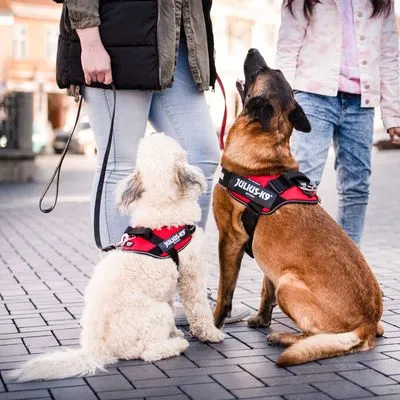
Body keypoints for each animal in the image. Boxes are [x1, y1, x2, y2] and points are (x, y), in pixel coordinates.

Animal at [12, 134, 223, 382]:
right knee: (148, 353)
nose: (153, 133)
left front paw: (175, 332)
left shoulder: (168, 286)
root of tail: (96, 349)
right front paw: (211, 334)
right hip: (157, 314)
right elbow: (200, 309)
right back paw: (176, 345)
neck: (161, 209)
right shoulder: (191, 275)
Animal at [214, 48, 382, 368]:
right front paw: (261, 319)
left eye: (261, 71)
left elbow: (224, 293)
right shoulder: (267, 259)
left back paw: (283, 338)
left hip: (288, 284)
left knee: (313, 336)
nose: (253, 50)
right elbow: (264, 290)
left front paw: (210, 325)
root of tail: (367, 324)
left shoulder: (229, 240)